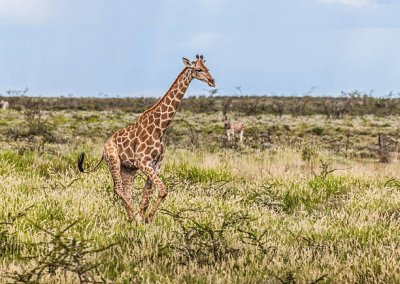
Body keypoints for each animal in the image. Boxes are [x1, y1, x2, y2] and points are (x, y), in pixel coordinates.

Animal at [77, 53, 216, 222]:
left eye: (207, 68)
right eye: (198, 69)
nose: (212, 81)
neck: (160, 128)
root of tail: (104, 148)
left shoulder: (155, 165)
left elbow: (147, 197)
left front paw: (146, 219)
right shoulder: (142, 162)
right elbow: (162, 190)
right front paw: (143, 219)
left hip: (128, 169)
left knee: (127, 191)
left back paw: (131, 218)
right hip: (114, 161)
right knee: (118, 189)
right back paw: (133, 217)